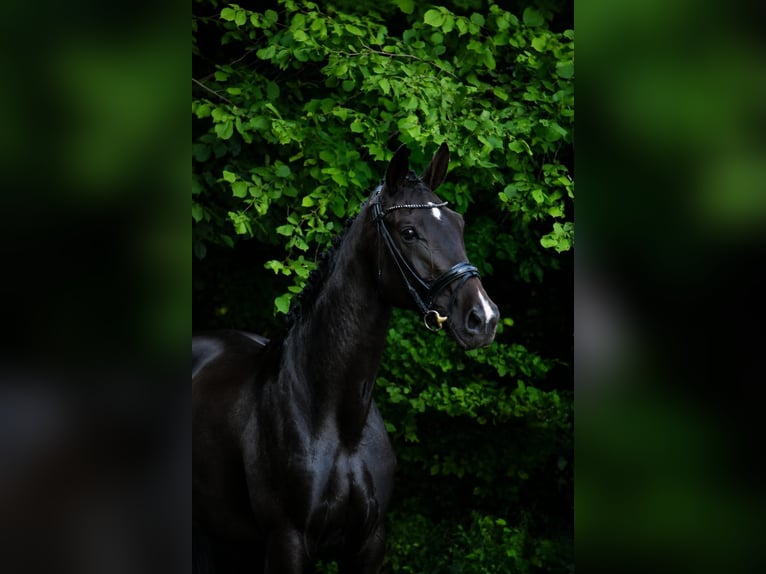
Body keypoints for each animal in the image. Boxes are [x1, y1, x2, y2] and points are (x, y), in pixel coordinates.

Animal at [192, 143, 499, 573]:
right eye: (409, 232)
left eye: (459, 224)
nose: (483, 318)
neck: (338, 424)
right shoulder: (287, 542)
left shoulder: (368, 542)